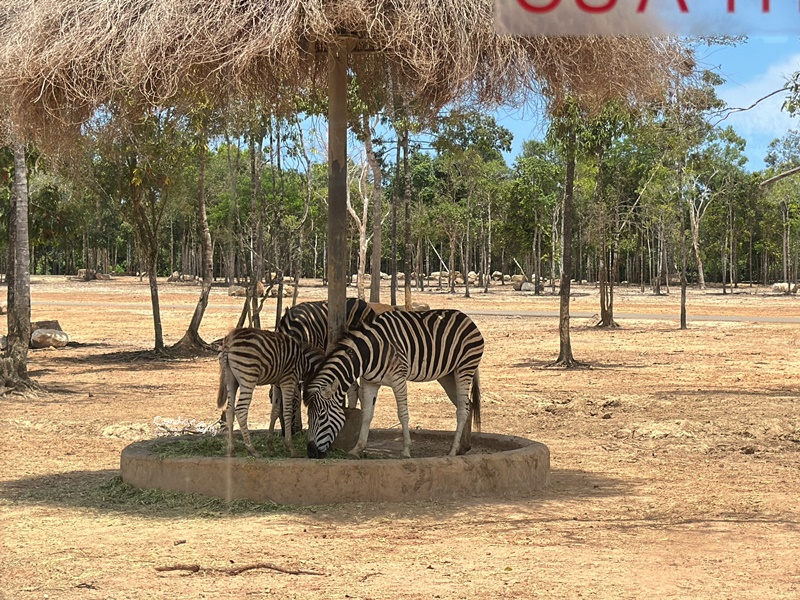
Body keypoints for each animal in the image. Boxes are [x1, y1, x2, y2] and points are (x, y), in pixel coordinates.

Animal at [216, 326, 324, 458]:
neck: (304, 362)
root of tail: (228, 341)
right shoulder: (288, 380)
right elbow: (287, 411)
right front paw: (291, 448)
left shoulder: (277, 384)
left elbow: (275, 411)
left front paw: (270, 446)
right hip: (248, 377)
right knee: (241, 411)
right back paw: (252, 450)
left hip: (231, 380)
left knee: (229, 410)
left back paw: (231, 450)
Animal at [304, 310, 482, 460]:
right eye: (308, 416)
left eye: (321, 416)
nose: (311, 453)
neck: (368, 354)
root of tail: (466, 317)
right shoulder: (370, 382)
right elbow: (367, 415)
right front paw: (357, 449)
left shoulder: (398, 379)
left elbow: (403, 414)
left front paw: (406, 450)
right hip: (447, 375)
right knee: (467, 405)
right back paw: (463, 448)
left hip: (464, 368)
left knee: (462, 410)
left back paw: (452, 451)